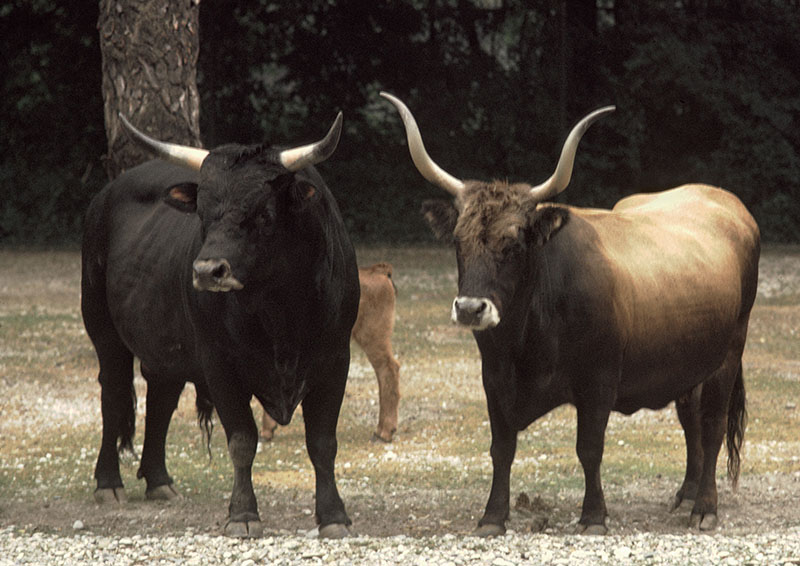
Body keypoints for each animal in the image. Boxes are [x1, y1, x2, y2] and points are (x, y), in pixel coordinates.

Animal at [80, 112, 360, 539]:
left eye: (263, 214)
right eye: (202, 214)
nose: (207, 271)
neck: (281, 311)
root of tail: (105, 196)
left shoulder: (335, 360)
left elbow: (322, 442)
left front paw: (333, 516)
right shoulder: (219, 364)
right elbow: (242, 440)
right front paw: (243, 514)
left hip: (166, 344)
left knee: (161, 396)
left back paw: (159, 480)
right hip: (104, 331)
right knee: (112, 395)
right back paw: (108, 483)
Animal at [381, 92, 759, 536]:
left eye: (514, 244)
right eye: (458, 241)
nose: (471, 308)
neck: (526, 339)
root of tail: (726, 202)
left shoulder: (598, 381)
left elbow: (589, 448)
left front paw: (593, 515)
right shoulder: (494, 379)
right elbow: (501, 448)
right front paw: (493, 515)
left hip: (727, 354)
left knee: (712, 425)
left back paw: (704, 507)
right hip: (689, 362)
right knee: (691, 422)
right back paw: (686, 494)